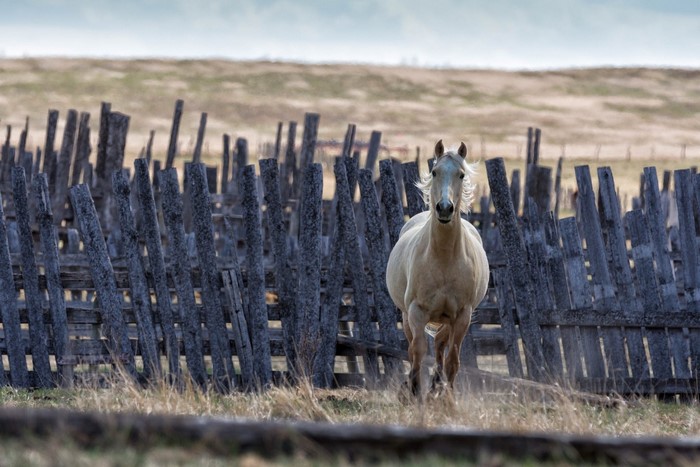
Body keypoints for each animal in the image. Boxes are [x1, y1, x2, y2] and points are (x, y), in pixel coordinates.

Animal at [386, 140, 489, 400]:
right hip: (407, 315)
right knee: (414, 347)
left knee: (441, 343)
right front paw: (413, 392)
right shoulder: (416, 311)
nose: (444, 208)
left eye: (461, 174)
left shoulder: (462, 315)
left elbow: (453, 358)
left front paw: (447, 396)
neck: (443, 259)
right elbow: (417, 351)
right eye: (434, 172)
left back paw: (436, 385)